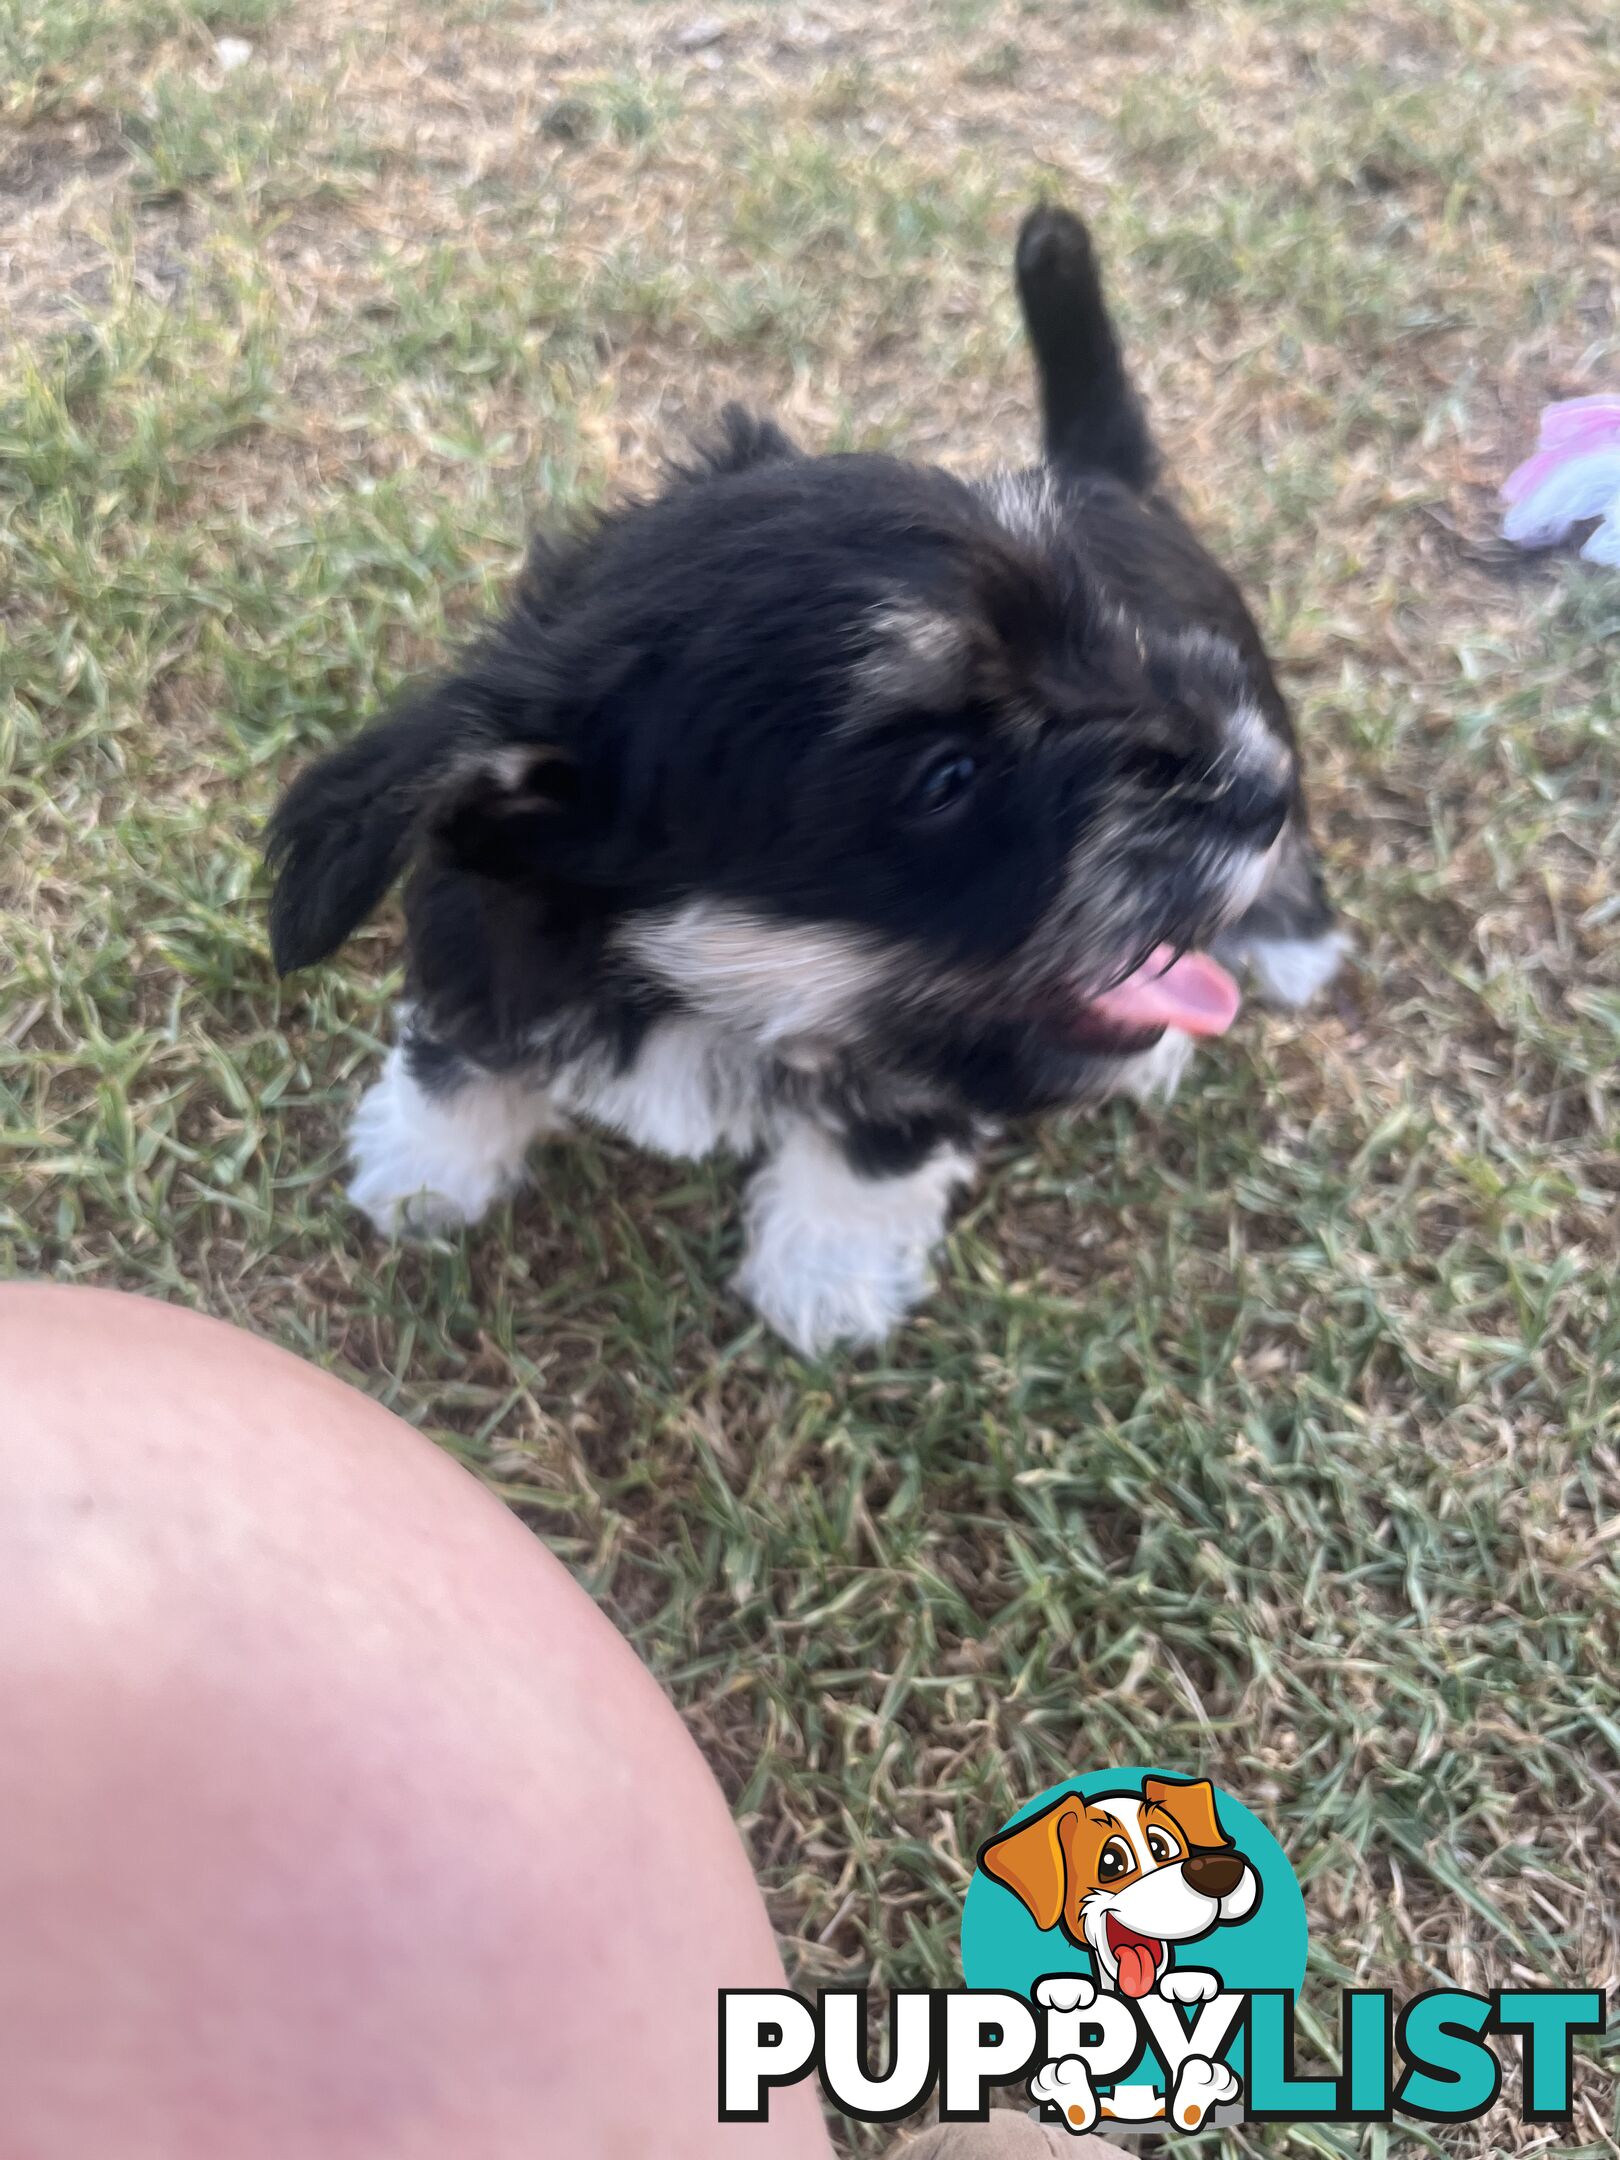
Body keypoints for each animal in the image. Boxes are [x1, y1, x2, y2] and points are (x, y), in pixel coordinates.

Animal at [273, 203, 1347, 1347]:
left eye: (1103, 635)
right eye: (945, 777)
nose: (1254, 791)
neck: (694, 986)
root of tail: (1109, 480)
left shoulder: (915, 1064)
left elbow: (874, 1153)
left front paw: (826, 1279)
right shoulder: (480, 931)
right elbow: (460, 1052)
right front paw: (423, 1167)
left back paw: (1284, 951)